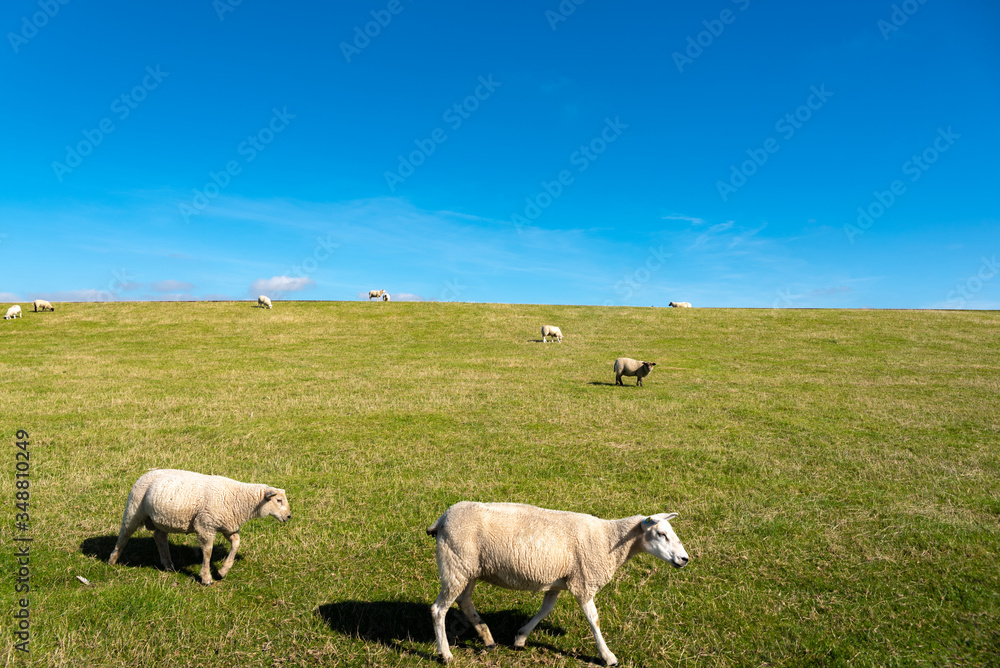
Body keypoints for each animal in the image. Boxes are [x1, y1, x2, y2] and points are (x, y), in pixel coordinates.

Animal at [108, 470, 292, 584]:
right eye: (278, 500)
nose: (289, 516)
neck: (238, 499)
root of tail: (145, 474)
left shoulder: (227, 526)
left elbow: (236, 543)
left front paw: (222, 571)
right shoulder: (205, 525)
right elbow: (208, 551)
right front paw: (206, 578)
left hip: (161, 519)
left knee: (159, 537)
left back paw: (168, 565)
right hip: (134, 509)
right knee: (124, 535)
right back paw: (112, 560)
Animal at [422, 500, 688, 664]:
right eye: (661, 534)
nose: (685, 559)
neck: (608, 539)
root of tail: (443, 518)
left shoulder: (557, 582)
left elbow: (545, 610)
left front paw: (520, 638)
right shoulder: (583, 582)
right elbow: (594, 619)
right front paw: (608, 656)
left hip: (467, 568)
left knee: (464, 602)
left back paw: (487, 638)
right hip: (455, 565)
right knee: (438, 610)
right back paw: (445, 654)